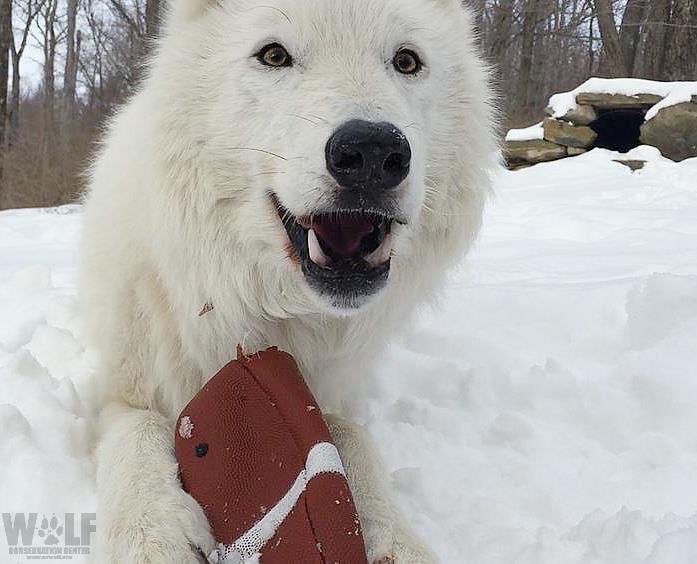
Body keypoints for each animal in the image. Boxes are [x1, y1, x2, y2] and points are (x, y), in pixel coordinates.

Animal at [80, 1, 494, 560]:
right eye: (274, 55)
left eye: (407, 61)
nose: (371, 152)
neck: (261, 312)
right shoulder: (122, 389)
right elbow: (135, 428)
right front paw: (151, 536)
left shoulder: (329, 388)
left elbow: (351, 434)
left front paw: (395, 538)